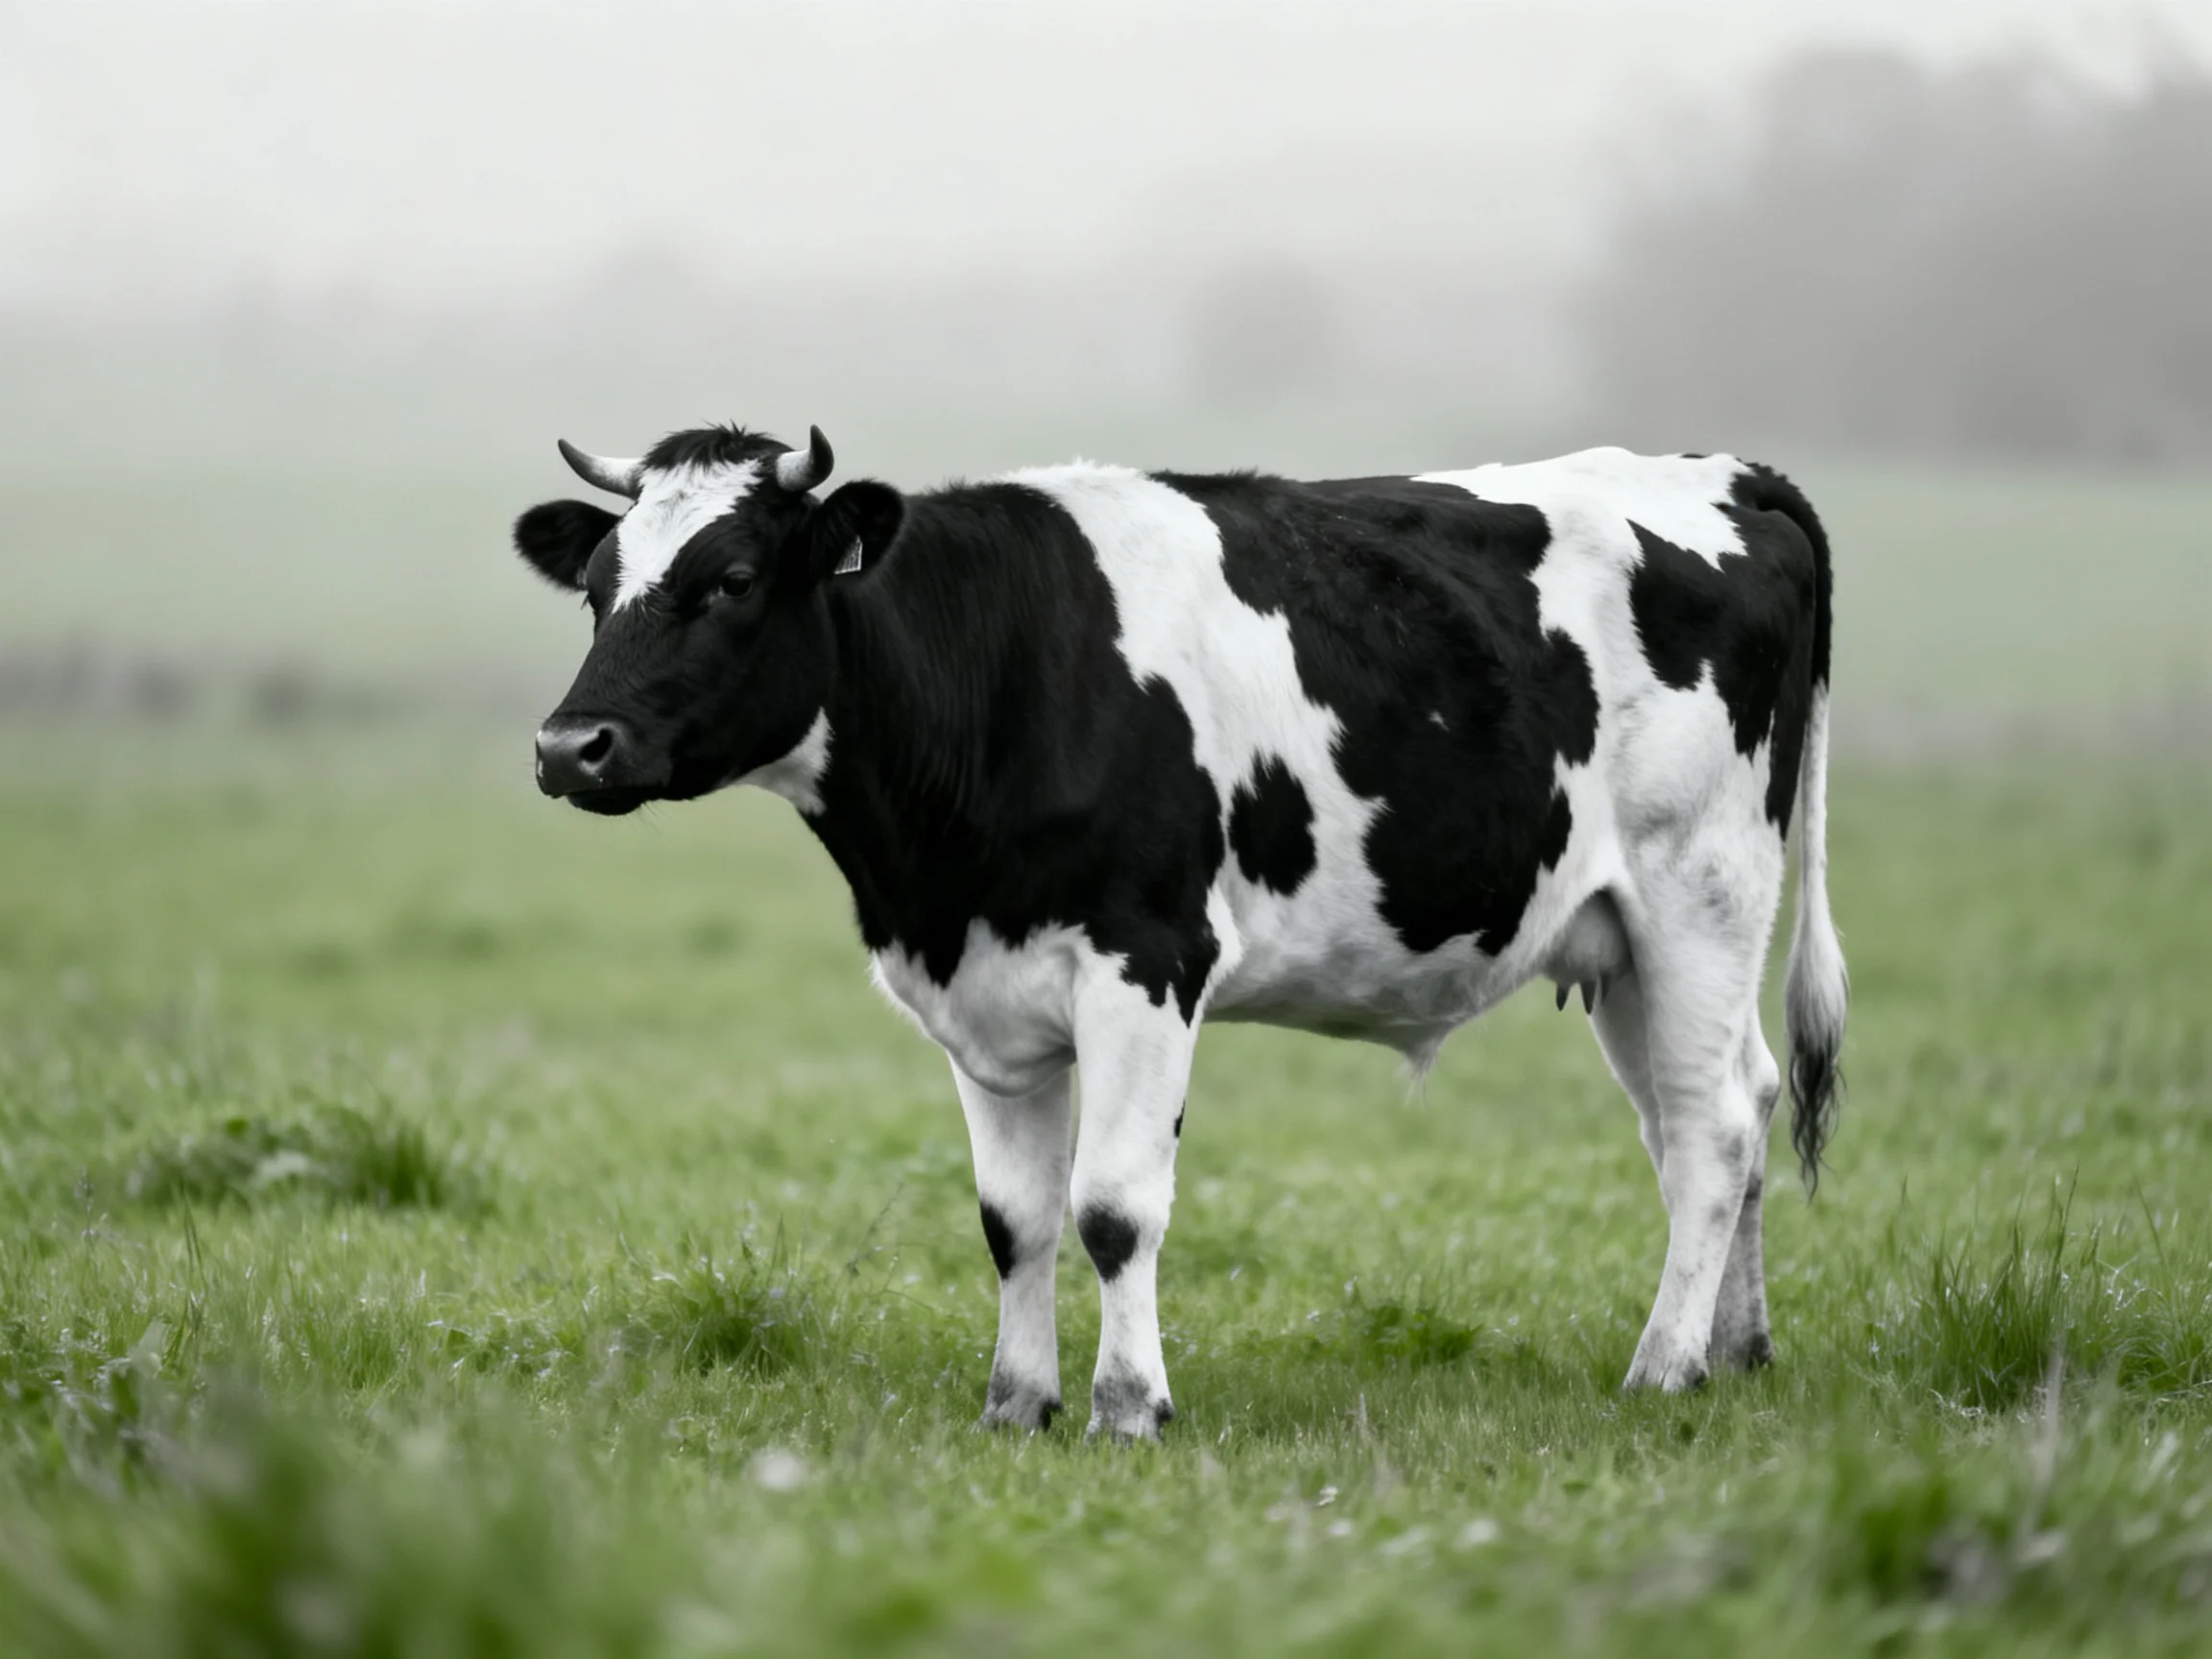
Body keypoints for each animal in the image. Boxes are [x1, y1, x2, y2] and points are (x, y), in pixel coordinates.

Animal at [513, 425, 1847, 1438]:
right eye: (597, 587)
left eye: (733, 578)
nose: (571, 747)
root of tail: (1729, 470)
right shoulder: (985, 996)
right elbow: (1014, 1221)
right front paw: (1017, 1405)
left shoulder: (1147, 960)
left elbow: (1112, 1205)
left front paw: (1128, 1407)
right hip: (1620, 939)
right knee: (1723, 1105)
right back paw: (1736, 1350)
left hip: (1702, 888)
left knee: (1713, 1130)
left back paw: (1661, 1369)